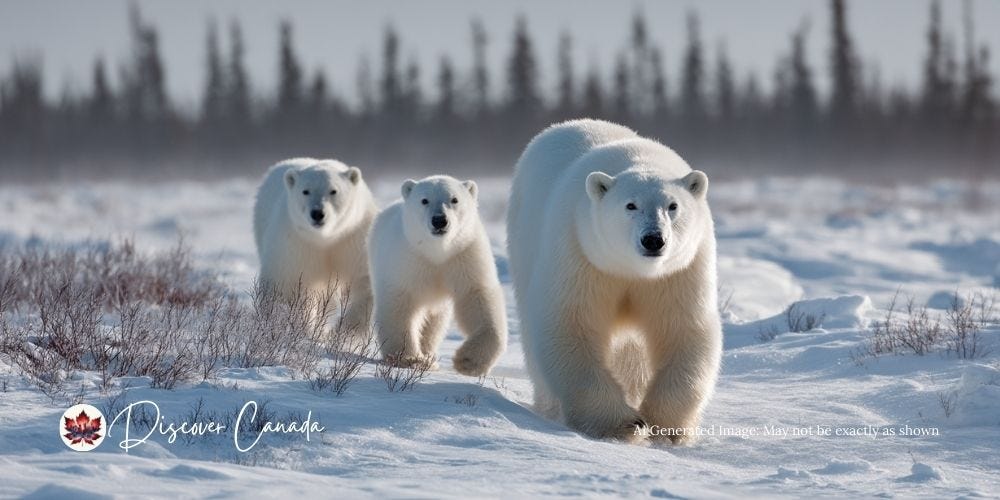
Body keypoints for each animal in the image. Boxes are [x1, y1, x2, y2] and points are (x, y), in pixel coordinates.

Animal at [253, 157, 377, 338]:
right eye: (305, 191)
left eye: (333, 190)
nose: (317, 213)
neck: (325, 238)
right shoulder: (295, 244)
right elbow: (285, 286)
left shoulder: (354, 239)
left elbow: (365, 280)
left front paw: (343, 332)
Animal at [368, 175, 507, 376]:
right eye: (424, 200)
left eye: (454, 199)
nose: (439, 220)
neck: (437, 251)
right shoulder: (407, 261)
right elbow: (399, 304)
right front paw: (410, 359)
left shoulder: (464, 255)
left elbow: (477, 298)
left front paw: (468, 361)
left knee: (436, 321)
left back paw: (430, 355)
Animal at [506, 119, 722, 443]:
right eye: (630, 205)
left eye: (672, 205)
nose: (653, 239)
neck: (634, 271)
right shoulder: (581, 252)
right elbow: (572, 324)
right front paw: (623, 424)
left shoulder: (680, 271)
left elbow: (684, 329)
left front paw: (664, 427)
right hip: (524, 243)